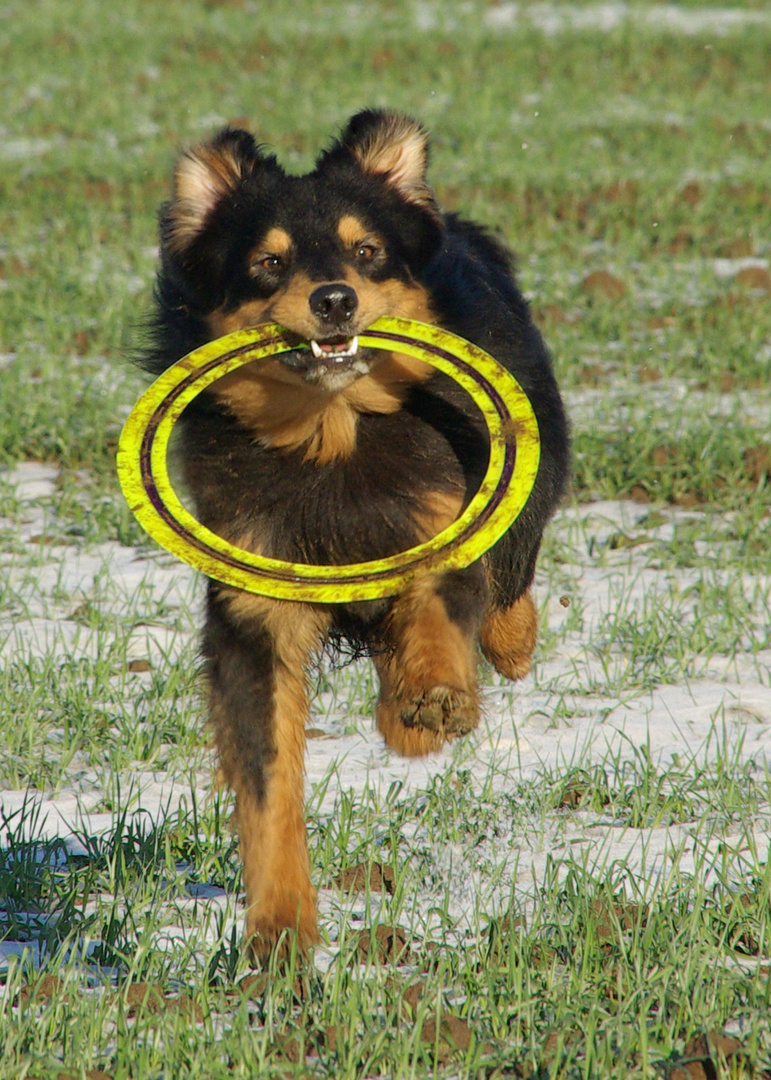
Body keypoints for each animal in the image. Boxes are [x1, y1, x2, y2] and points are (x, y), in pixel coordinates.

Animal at [141, 107, 565, 954]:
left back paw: (504, 650)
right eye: (269, 265)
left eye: (367, 252)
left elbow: (439, 611)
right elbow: (267, 781)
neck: (331, 435)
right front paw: (279, 934)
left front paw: (427, 704)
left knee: (510, 581)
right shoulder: (254, 610)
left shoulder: (443, 514)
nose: (333, 298)